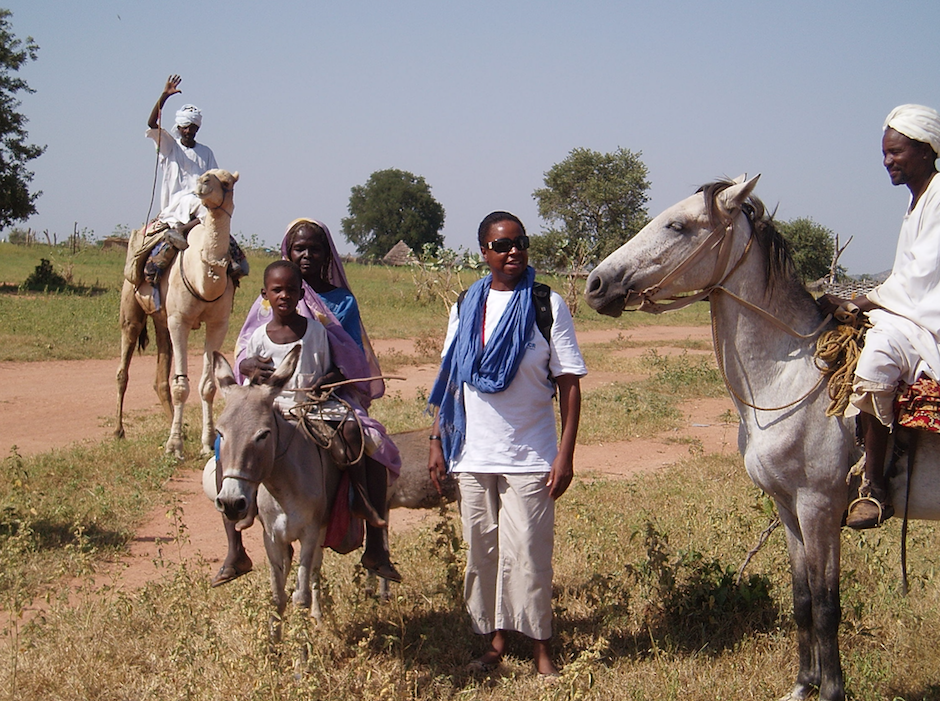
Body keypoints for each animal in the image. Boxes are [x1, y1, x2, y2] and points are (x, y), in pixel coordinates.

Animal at [115, 168, 240, 459]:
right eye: (208, 176)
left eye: (227, 182)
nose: (203, 182)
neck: (203, 279)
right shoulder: (179, 320)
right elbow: (181, 385)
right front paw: (174, 447)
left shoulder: (218, 323)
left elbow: (208, 386)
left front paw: (208, 443)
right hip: (132, 307)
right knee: (124, 368)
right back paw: (119, 430)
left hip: (162, 321)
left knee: (161, 378)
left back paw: (178, 425)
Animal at [584, 175, 940, 701]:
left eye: (678, 225)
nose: (596, 284)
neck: (788, 378)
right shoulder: (788, 508)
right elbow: (802, 599)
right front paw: (803, 685)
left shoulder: (819, 508)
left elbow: (828, 606)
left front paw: (831, 691)